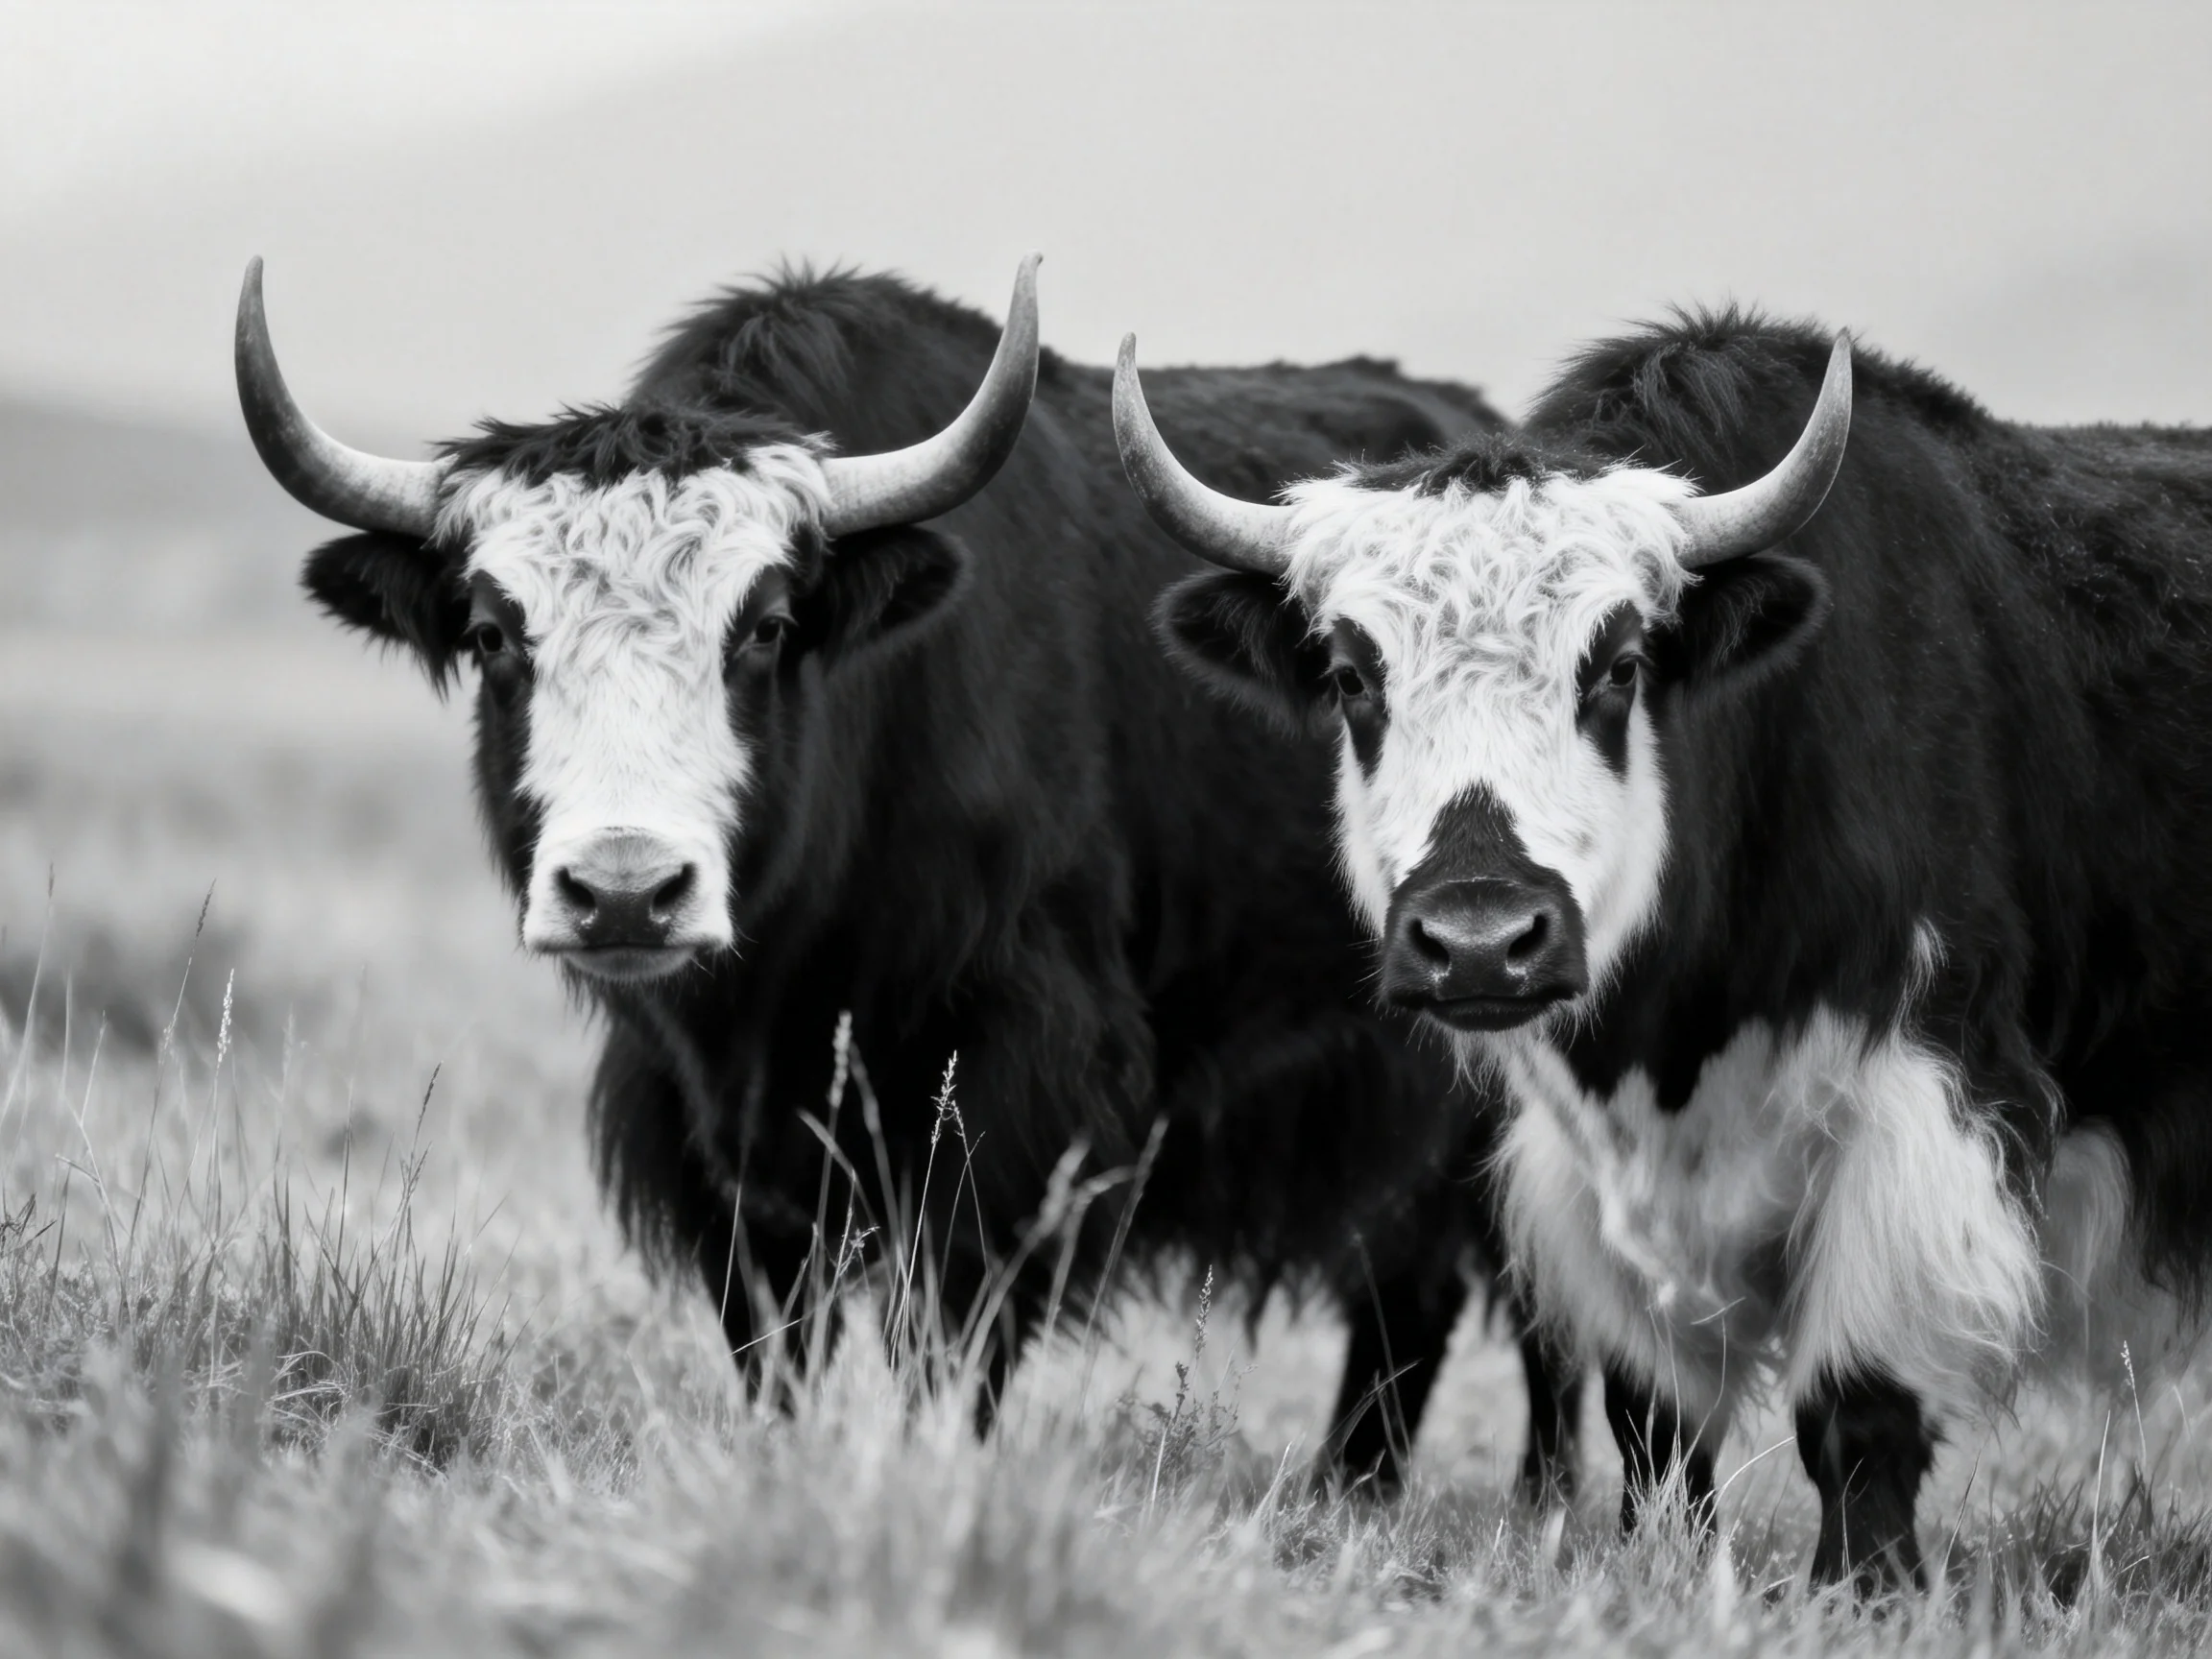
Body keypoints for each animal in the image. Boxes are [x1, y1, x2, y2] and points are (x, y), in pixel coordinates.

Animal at [233, 256, 1583, 1495]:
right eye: (492, 632)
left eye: (767, 626)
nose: (624, 891)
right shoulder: (715, 1129)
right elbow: (772, 1332)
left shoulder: (1013, 1080)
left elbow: (949, 1323)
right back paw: (1359, 1493)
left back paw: (1529, 1505)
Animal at [1115, 309, 2212, 1589]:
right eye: (1350, 676)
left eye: (1620, 664)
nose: (1479, 944)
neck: (1682, 1028)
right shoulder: (1591, 1179)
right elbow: (1652, 1419)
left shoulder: (1931, 1101)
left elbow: (1858, 1405)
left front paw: (1867, 1592)